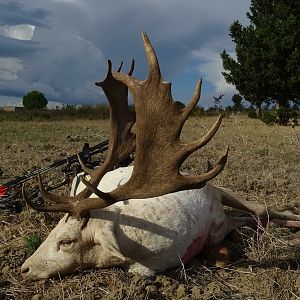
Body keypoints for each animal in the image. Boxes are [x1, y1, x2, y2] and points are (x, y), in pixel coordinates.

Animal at [20, 31, 298, 280]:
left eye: (66, 241)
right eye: (53, 229)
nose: (25, 268)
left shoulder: (213, 190)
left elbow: (262, 209)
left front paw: (291, 216)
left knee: (260, 210)